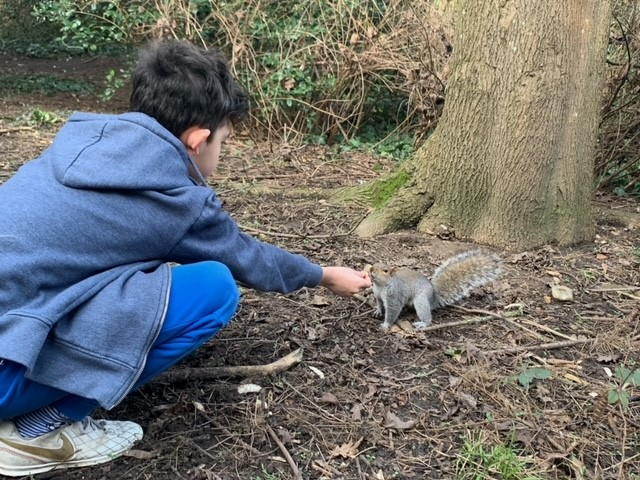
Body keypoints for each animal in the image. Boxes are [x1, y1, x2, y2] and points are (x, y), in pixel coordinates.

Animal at [368, 251, 502, 330]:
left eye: (385, 270)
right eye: (375, 265)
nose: (371, 269)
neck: (381, 286)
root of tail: (433, 296)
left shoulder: (394, 297)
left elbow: (392, 312)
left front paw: (385, 325)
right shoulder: (378, 295)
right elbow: (379, 303)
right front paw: (378, 311)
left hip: (421, 300)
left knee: (427, 315)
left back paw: (423, 323)